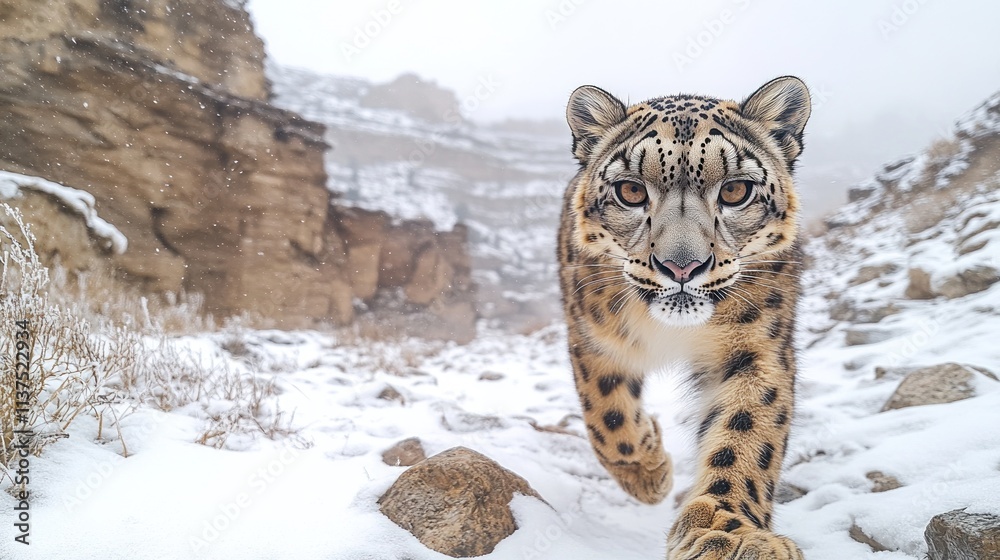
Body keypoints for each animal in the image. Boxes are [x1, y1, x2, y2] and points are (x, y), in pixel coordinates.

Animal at [557, 76, 810, 559]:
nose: (681, 266)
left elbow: (745, 432)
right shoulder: (593, 338)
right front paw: (649, 471)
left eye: (734, 191)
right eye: (631, 191)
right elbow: (608, 417)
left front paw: (729, 534)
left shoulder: (757, 348)